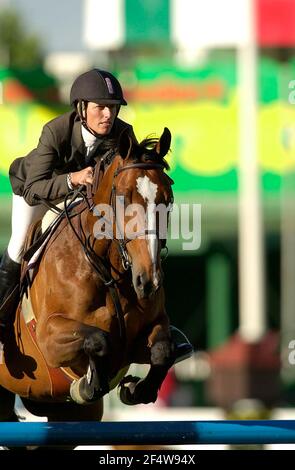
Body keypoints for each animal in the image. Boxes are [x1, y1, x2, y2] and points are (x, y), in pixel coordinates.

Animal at [0, 126, 177, 442]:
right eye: (123, 196)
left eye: (167, 199)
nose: (148, 282)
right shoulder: (49, 338)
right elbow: (98, 340)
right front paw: (87, 385)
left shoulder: (152, 328)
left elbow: (163, 350)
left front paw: (136, 389)